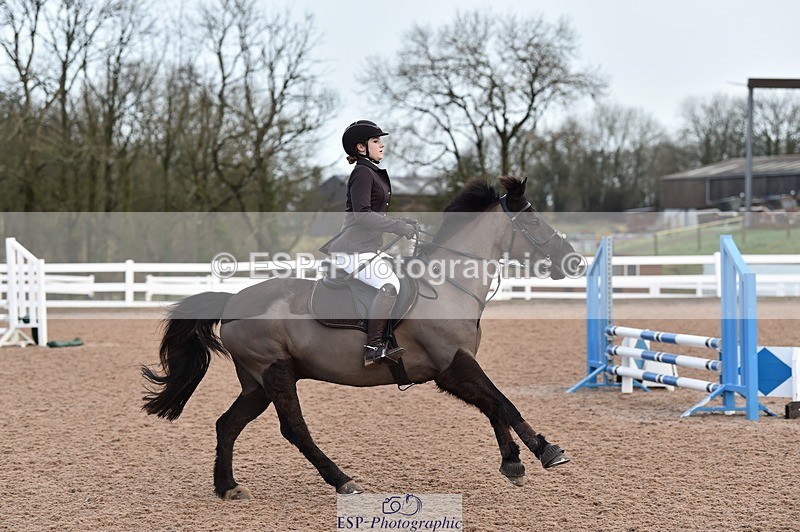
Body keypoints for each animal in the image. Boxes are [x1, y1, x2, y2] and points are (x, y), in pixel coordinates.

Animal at [141, 176, 582, 499]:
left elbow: (493, 405)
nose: (574, 261)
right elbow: (503, 403)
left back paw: (228, 487)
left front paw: (513, 462)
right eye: (532, 221)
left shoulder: (450, 369)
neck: (449, 285)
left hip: (257, 383)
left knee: (227, 424)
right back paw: (343, 480)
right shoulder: (452, 365)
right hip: (274, 372)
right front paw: (546, 451)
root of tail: (234, 300)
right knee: (294, 429)